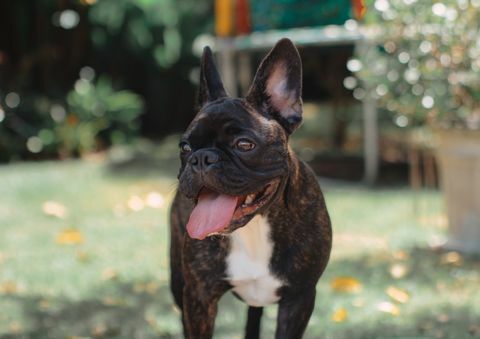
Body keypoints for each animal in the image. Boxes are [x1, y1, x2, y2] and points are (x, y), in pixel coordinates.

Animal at [171, 38, 332, 338]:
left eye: (244, 144)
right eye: (185, 147)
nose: (202, 158)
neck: (254, 226)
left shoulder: (299, 298)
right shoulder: (198, 296)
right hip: (178, 283)